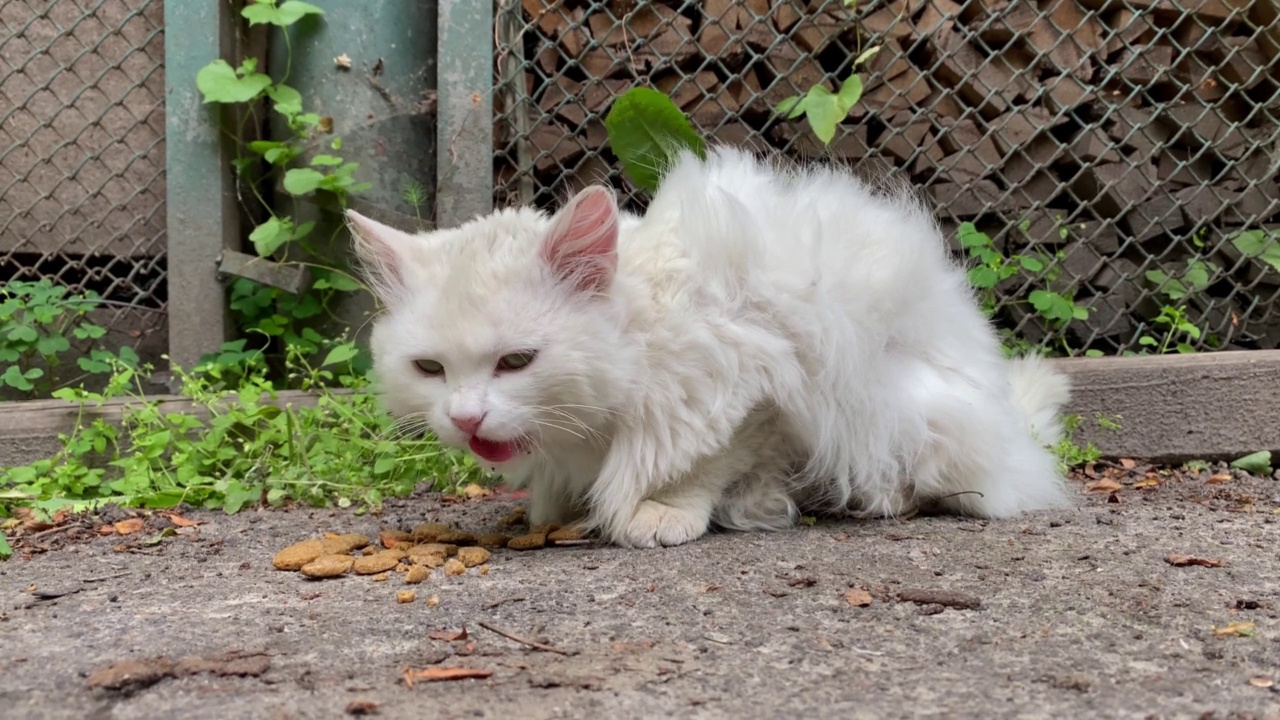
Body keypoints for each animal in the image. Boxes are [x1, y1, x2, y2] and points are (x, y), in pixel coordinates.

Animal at [348, 147, 1070, 548]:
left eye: (516, 362)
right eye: (430, 369)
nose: (466, 418)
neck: (641, 336)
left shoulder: (764, 382)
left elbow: (700, 463)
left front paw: (661, 512)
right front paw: (552, 511)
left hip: (909, 410)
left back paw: (879, 498)